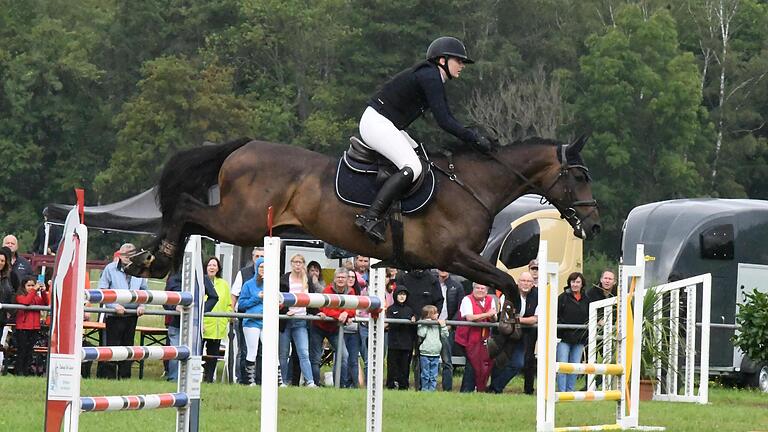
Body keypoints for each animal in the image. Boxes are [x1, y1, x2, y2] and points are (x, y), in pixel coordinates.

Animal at [126, 137, 600, 302]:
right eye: (579, 176)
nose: (594, 226)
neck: (473, 186)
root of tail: (242, 147)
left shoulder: (459, 260)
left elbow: (503, 283)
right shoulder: (455, 257)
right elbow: (507, 284)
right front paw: (506, 327)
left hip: (245, 223)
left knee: (189, 215)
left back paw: (148, 259)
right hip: (242, 222)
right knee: (187, 209)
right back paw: (155, 259)